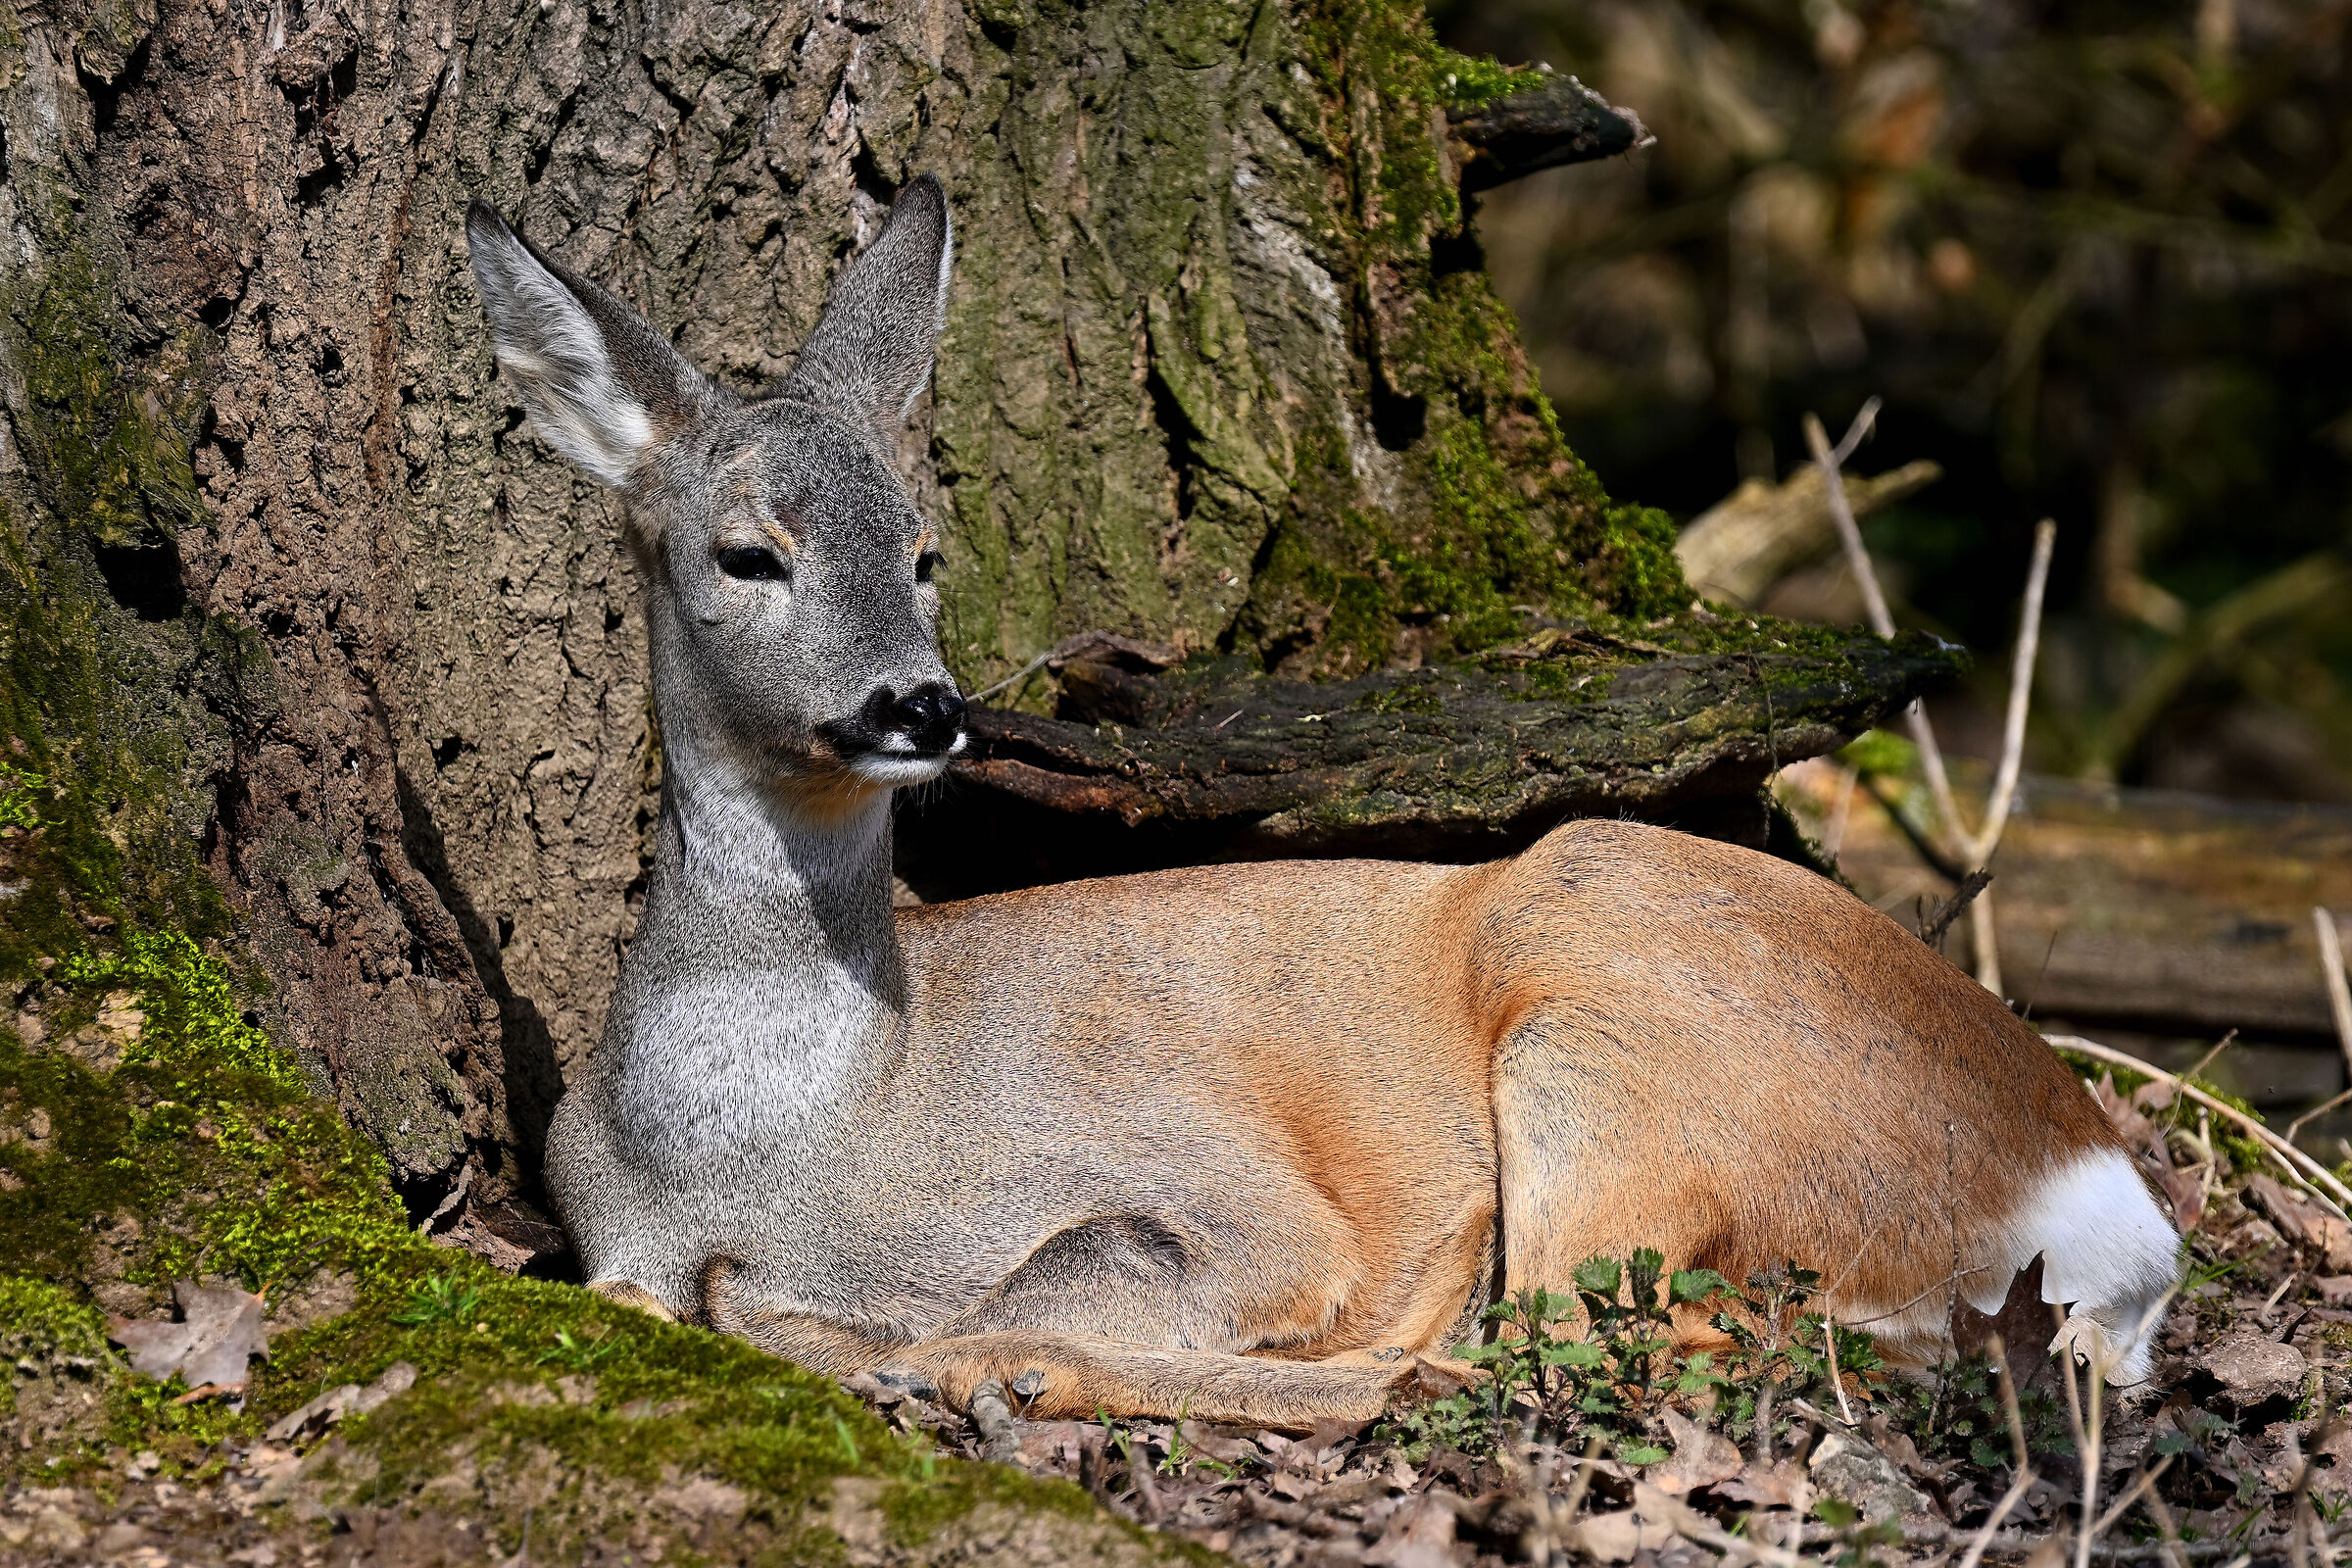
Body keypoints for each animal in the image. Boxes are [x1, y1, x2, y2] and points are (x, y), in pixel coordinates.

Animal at [464, 176, 2179, 1428]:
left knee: (1532, 1351)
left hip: (1619, 1054)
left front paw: (892, 1333)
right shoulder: (607, 1242)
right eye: (749, 552)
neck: (792, 1127)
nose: (921, 705)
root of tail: (2105, 1206)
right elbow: (641, 1293)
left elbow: (1093, 1261)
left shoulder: (1230, 1194)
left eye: (923, 547)